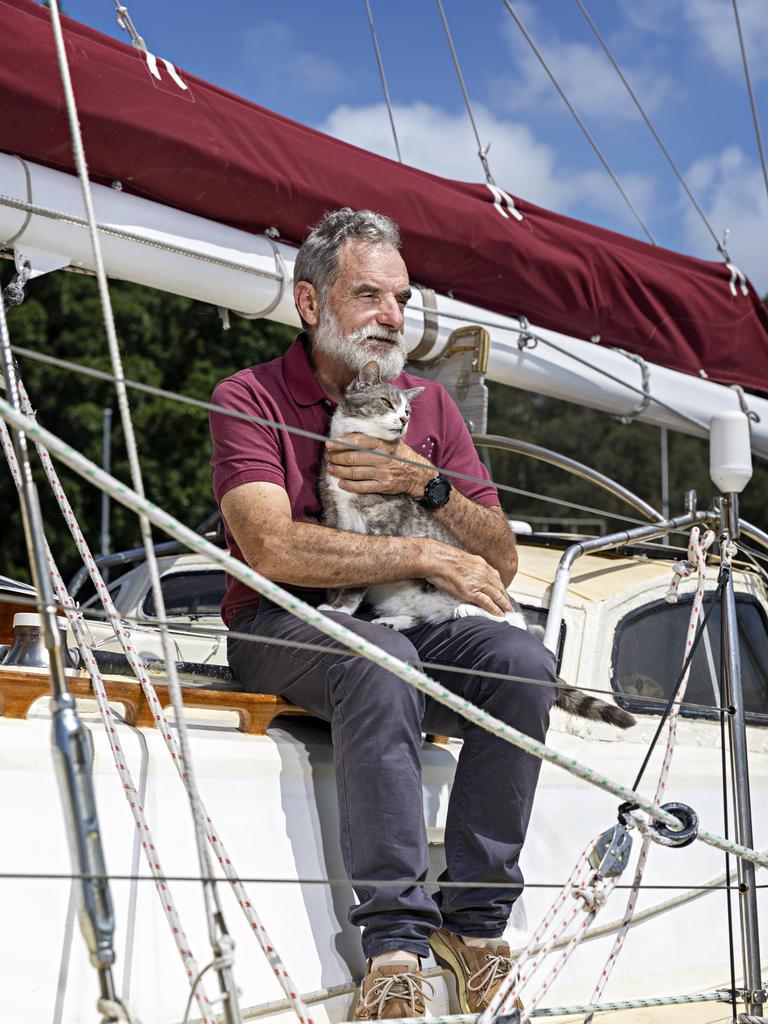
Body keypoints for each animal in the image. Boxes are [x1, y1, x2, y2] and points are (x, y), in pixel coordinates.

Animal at [319, 360, 638, 729]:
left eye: (407, 411)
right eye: (386, 402)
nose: (402, 421)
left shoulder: (379, 529)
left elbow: (355, 584)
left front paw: (338, 611)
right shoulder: (334, 516)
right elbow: (341, 569)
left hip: (488, 596)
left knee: (511, 619)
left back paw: (469, 610)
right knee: (426, 617)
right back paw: (395, 622)